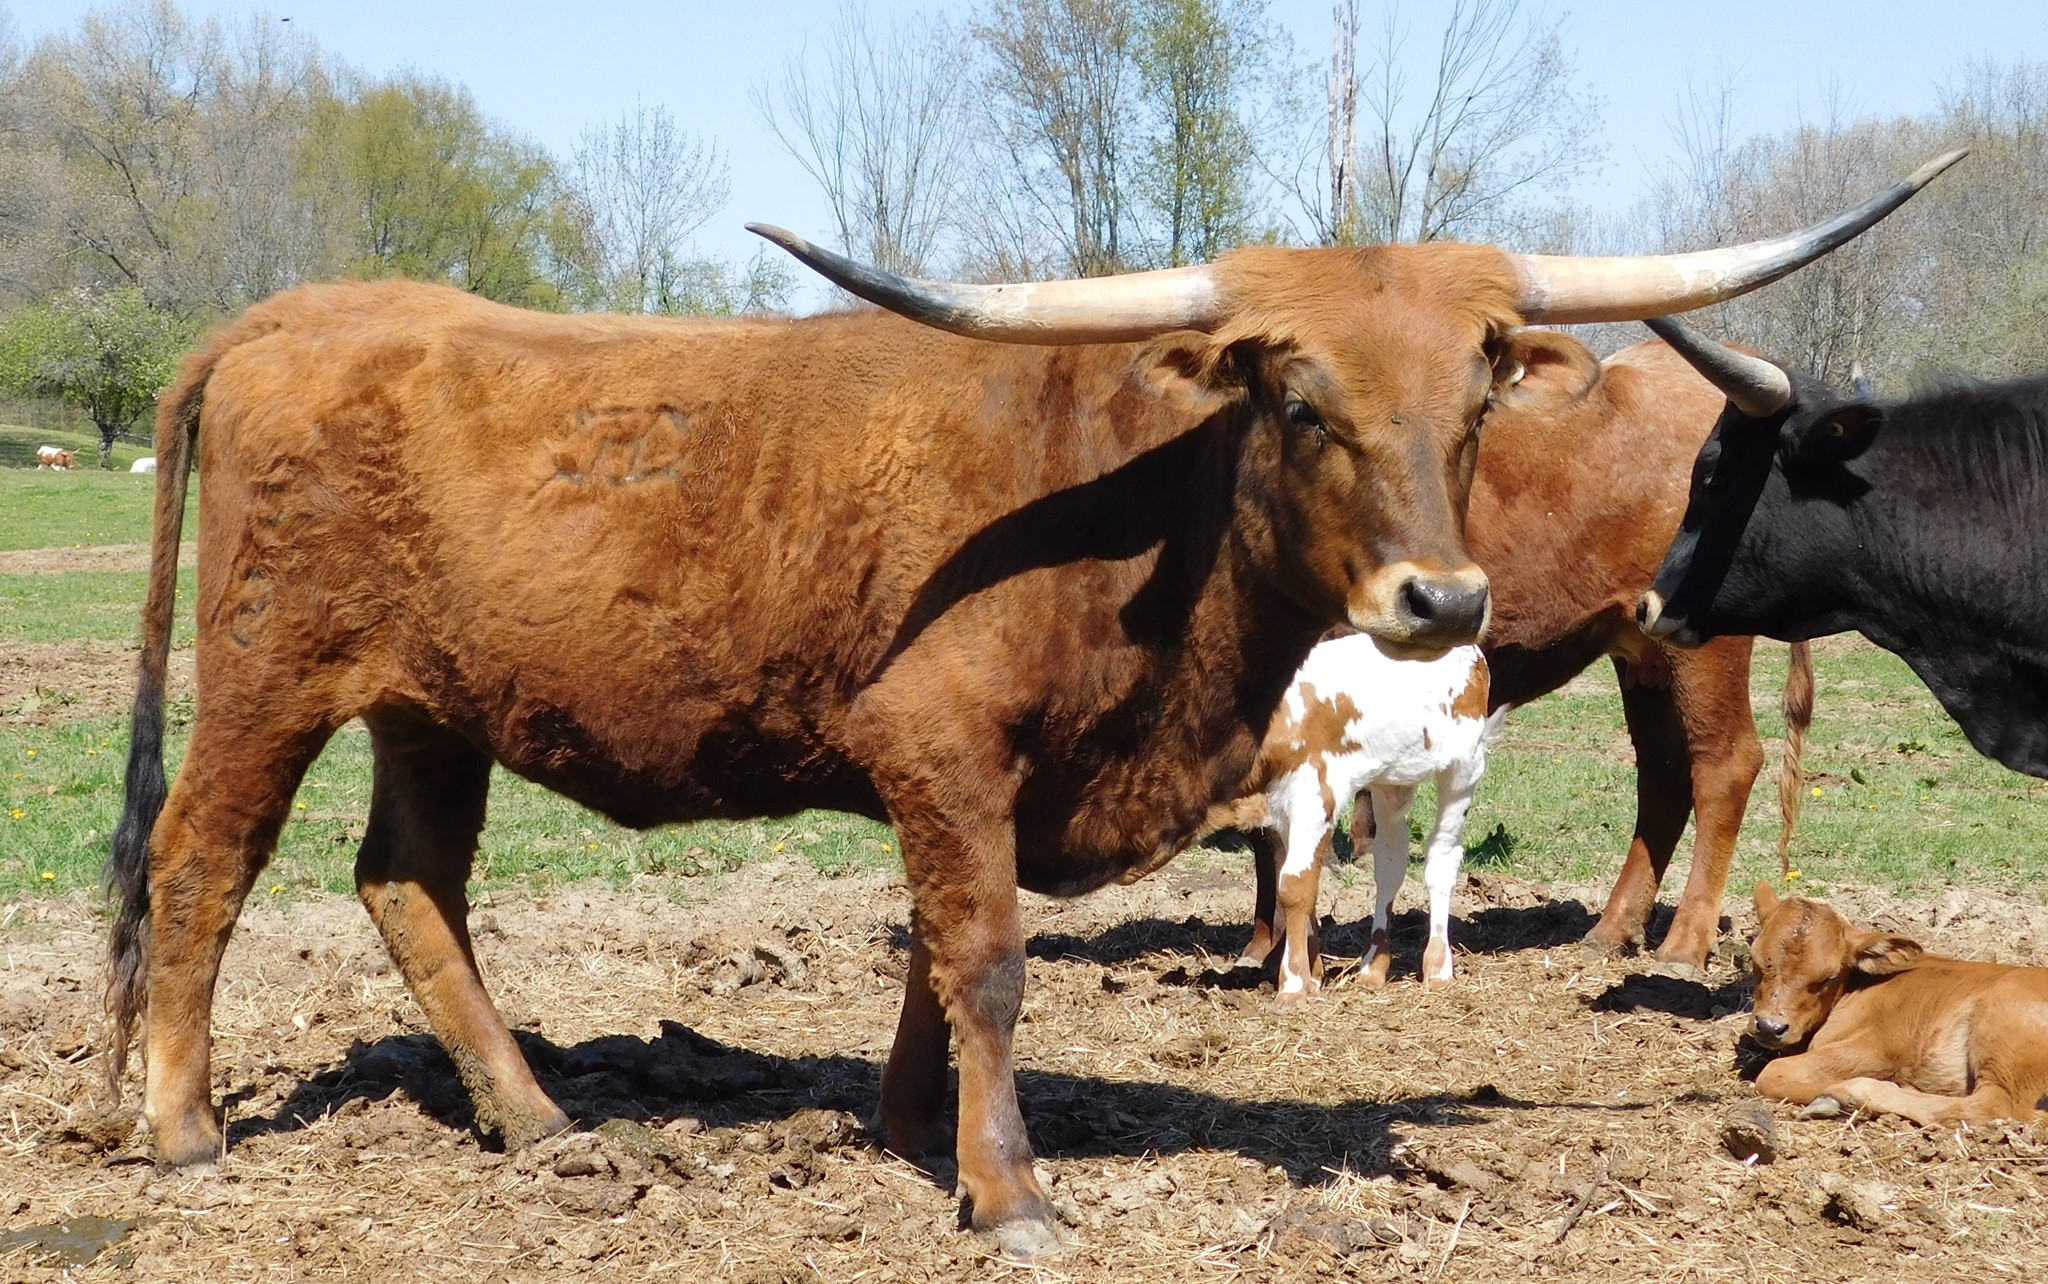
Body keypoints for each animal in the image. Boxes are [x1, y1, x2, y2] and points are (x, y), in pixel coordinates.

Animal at [1220, 637, 1502, 999]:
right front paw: (1312, 974)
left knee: (1442, 856)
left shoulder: (1316, 795)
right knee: (1391, 861)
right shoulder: (1281, 809)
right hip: (1391, 781)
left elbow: (1295, 884)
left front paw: (1294, 985)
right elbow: (1301, 881)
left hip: (1464, 767)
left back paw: (1438, 968)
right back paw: (1373, 967)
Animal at [1747, 882, 2048, 1125]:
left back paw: (1846, 1097)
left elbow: (1772, 1073)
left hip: (2002, 1029)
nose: (1769, 1026)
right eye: (1755, 960)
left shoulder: (1880, 1047)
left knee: (1996, 1105)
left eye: (1828, 978)